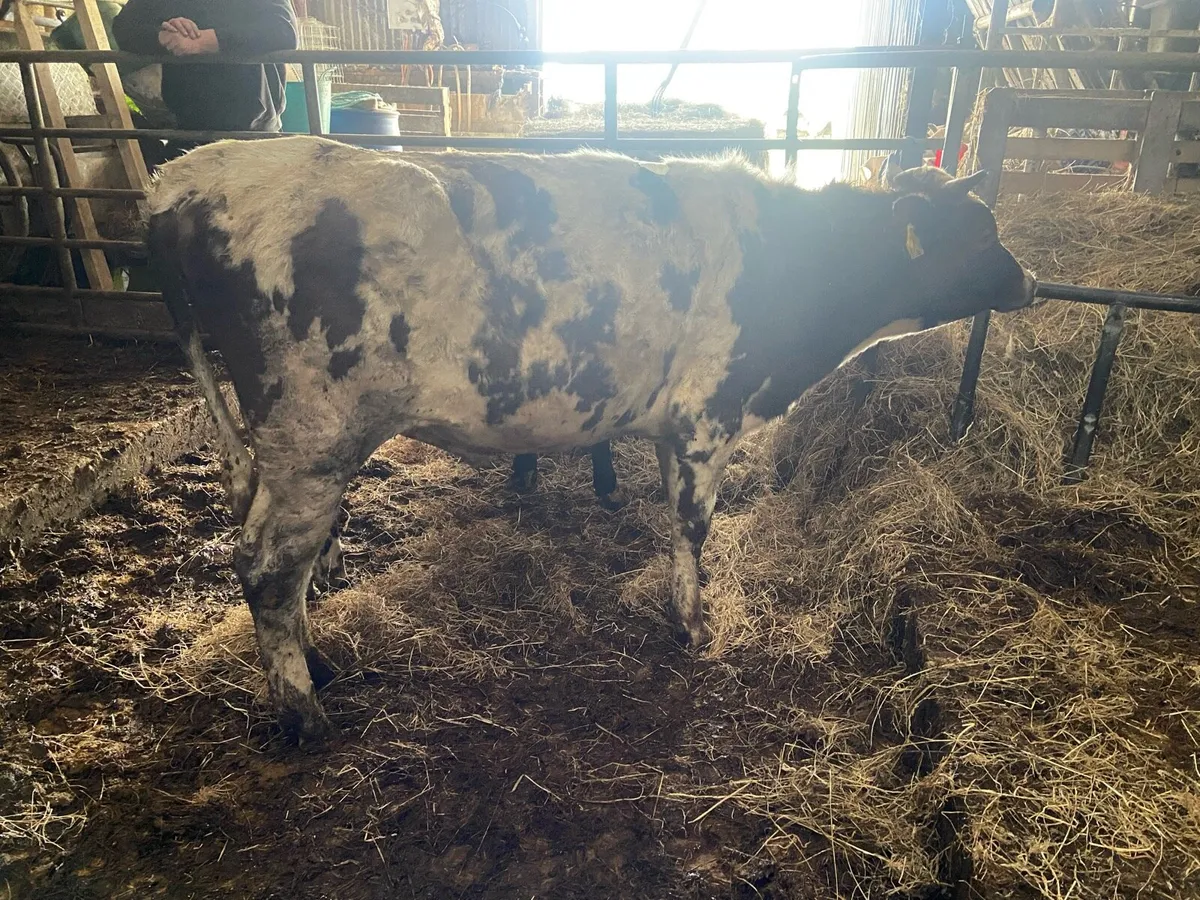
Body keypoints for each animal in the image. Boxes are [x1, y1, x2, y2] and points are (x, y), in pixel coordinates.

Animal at [146, 136, 1036, 741]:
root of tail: (192, 174)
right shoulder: (710, 414)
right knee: (268, 566)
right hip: (316, 435)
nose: (1028, 279)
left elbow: (676, 523)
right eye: (977, 231)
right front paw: (696, 628)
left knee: (279, 560)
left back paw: (320, 667)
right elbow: (694, 527)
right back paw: (303, 714)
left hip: (284, 446)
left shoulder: (678, 424)